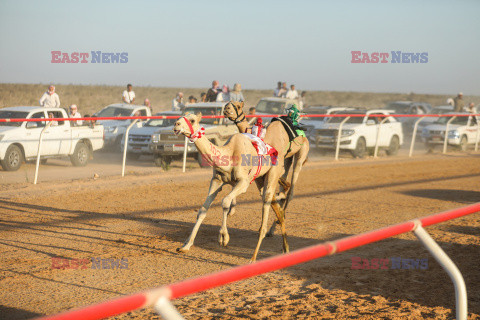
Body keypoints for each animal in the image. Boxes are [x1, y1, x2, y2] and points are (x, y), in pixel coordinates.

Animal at [175, 112, 288, 262]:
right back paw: (286, 249)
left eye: (192, 120)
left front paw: (223, 238)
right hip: (260, 179)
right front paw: (185, 246)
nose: (176, 125)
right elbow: (202, 210)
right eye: (180, 117)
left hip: (272, 174)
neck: (229, 155)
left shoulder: (243, 182)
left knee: (266, 205)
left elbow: (225, 202)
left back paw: (253, 258)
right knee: (278, 209)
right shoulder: (216, 181)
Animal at [223, 101, 310, 234]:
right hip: (288, 159)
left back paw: (277, 221)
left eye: (237, 106)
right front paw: (231, 211)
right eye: (229, 104)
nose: (226, 108)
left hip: (301, 154)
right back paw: (273, 227)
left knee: (292, 189)